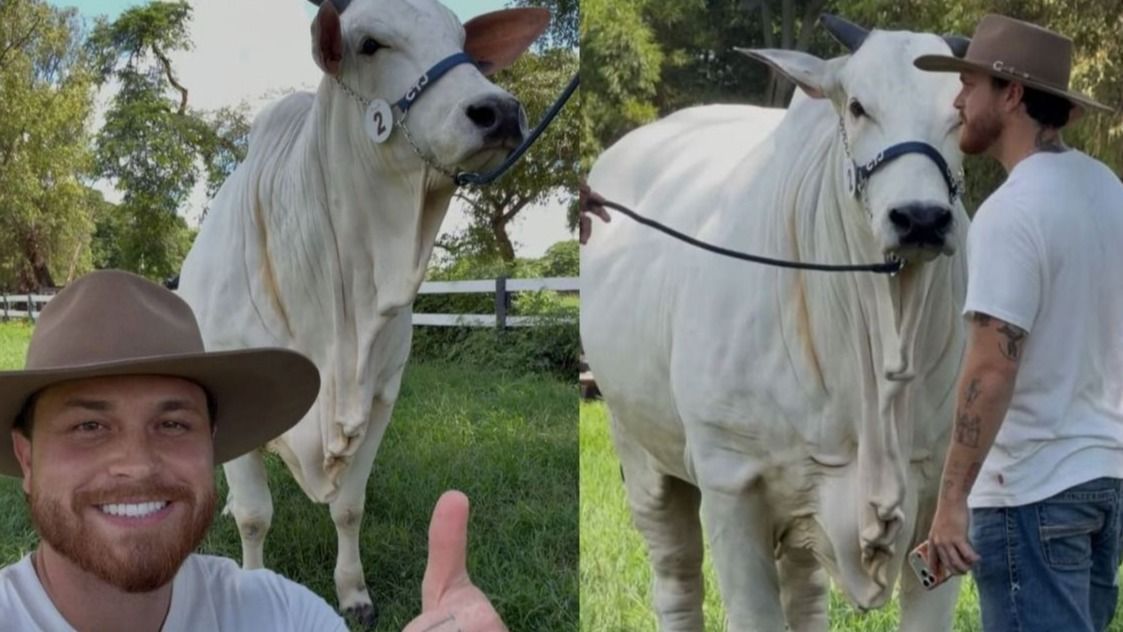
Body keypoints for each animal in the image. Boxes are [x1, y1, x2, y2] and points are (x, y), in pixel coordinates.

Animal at [175, 0, 548, 624]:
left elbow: (349, 507)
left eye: (463, 45)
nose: (498, 111)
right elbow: (255, 516)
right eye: (371, 44)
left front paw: (354, 593)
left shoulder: (379, 397)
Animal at [580, 16, 972, 632]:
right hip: (640, 453)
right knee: (677, 581)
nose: (921, 218)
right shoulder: (730, 483)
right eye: (857, 106)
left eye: (961, 112)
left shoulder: (943, 498)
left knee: (805, 594)